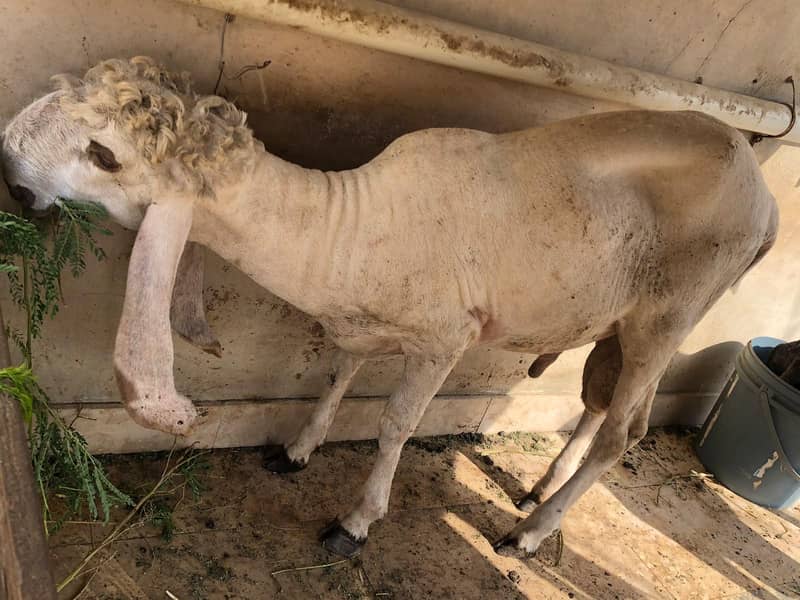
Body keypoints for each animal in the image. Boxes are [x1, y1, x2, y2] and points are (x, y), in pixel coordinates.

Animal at [1, 57, 778, 558]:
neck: (350, 223)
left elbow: (395, 426)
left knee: (624, 433)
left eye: (104, 154)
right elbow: (337, 375)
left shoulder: (444, 340)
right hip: (619, 318)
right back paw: (538, 492)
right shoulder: (356, 324)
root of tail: (766, 199)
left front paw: (355, 522)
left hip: (670, 314)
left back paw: (528, 534)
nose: (7, 162)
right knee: (603, 402)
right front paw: (298, 449)